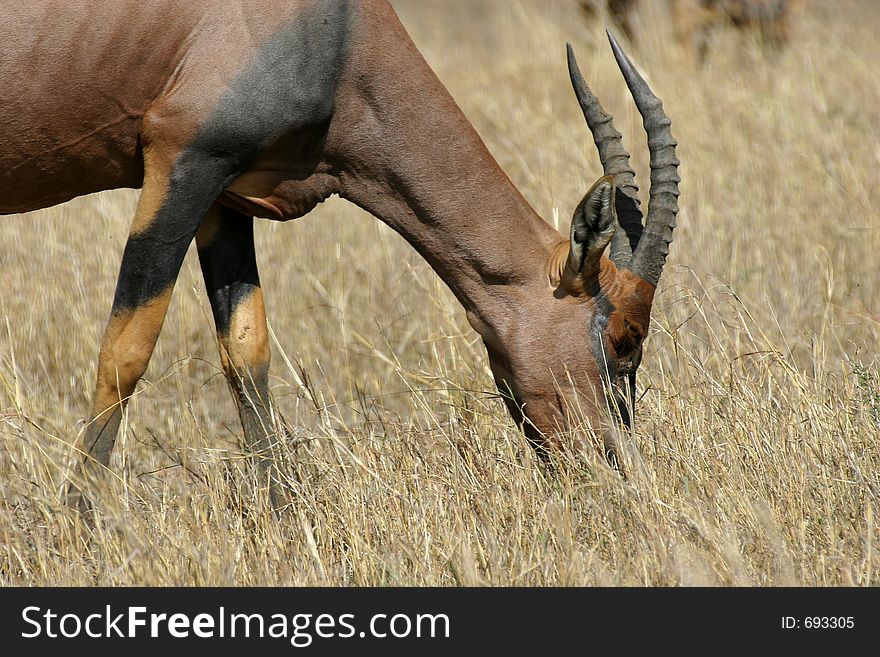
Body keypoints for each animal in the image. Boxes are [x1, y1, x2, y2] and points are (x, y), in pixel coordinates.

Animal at [1, 0, 680, 508]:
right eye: (624, 339)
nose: (618, 475)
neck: (336, 28)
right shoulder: (181, 163)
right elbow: (127, 349)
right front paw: (79, 521)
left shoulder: (225, 193)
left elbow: (245, 348)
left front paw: (283, 512)